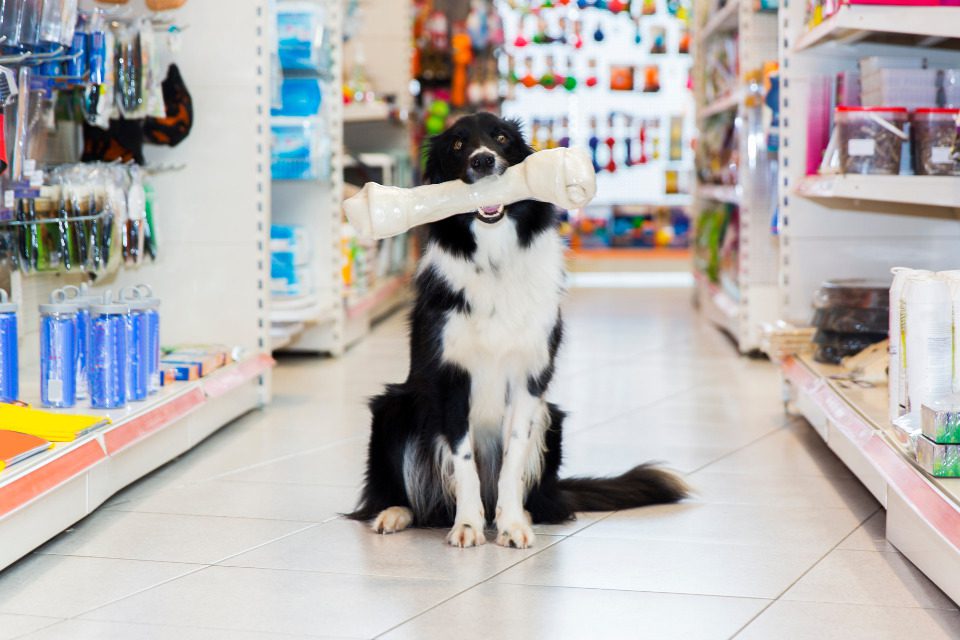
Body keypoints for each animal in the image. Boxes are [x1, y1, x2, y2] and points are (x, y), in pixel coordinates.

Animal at [348, 112, 688, 548]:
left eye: (501, 138)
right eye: (457, 145)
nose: (483, 161)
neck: (494, 258)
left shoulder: (529, 379)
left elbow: (512, 458)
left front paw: (510, 524)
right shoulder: (451, 379)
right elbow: (464, 462)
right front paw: (468, 525)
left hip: (552, 418)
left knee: (542, 500)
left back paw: (524, 512)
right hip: (395, 406)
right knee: (406, 496)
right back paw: (395, 513)